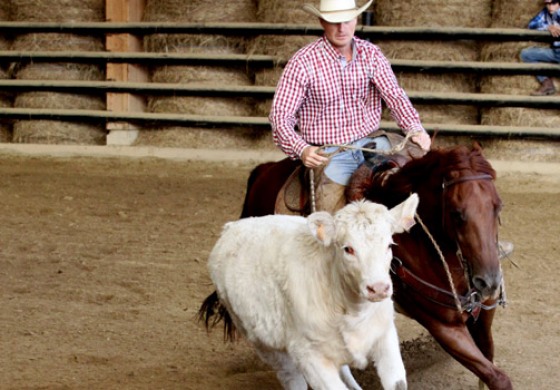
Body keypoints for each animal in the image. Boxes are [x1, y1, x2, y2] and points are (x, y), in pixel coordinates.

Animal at [208, 197, 418, 388]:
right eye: (348, 249)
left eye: (389, 245)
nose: (379, 288)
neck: (354, 312)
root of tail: (232, 226)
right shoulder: (309, 356)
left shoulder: (385, 337)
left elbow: (397, 383)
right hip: (262, 341)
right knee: (290, 376)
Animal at [230, 144, 510, 390]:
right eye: (457, 213)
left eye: (498, 206)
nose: (489, 281)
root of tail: (264, 171)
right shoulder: (444, 327)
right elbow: (498, 377)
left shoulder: (483, 317)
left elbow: (490, 362)